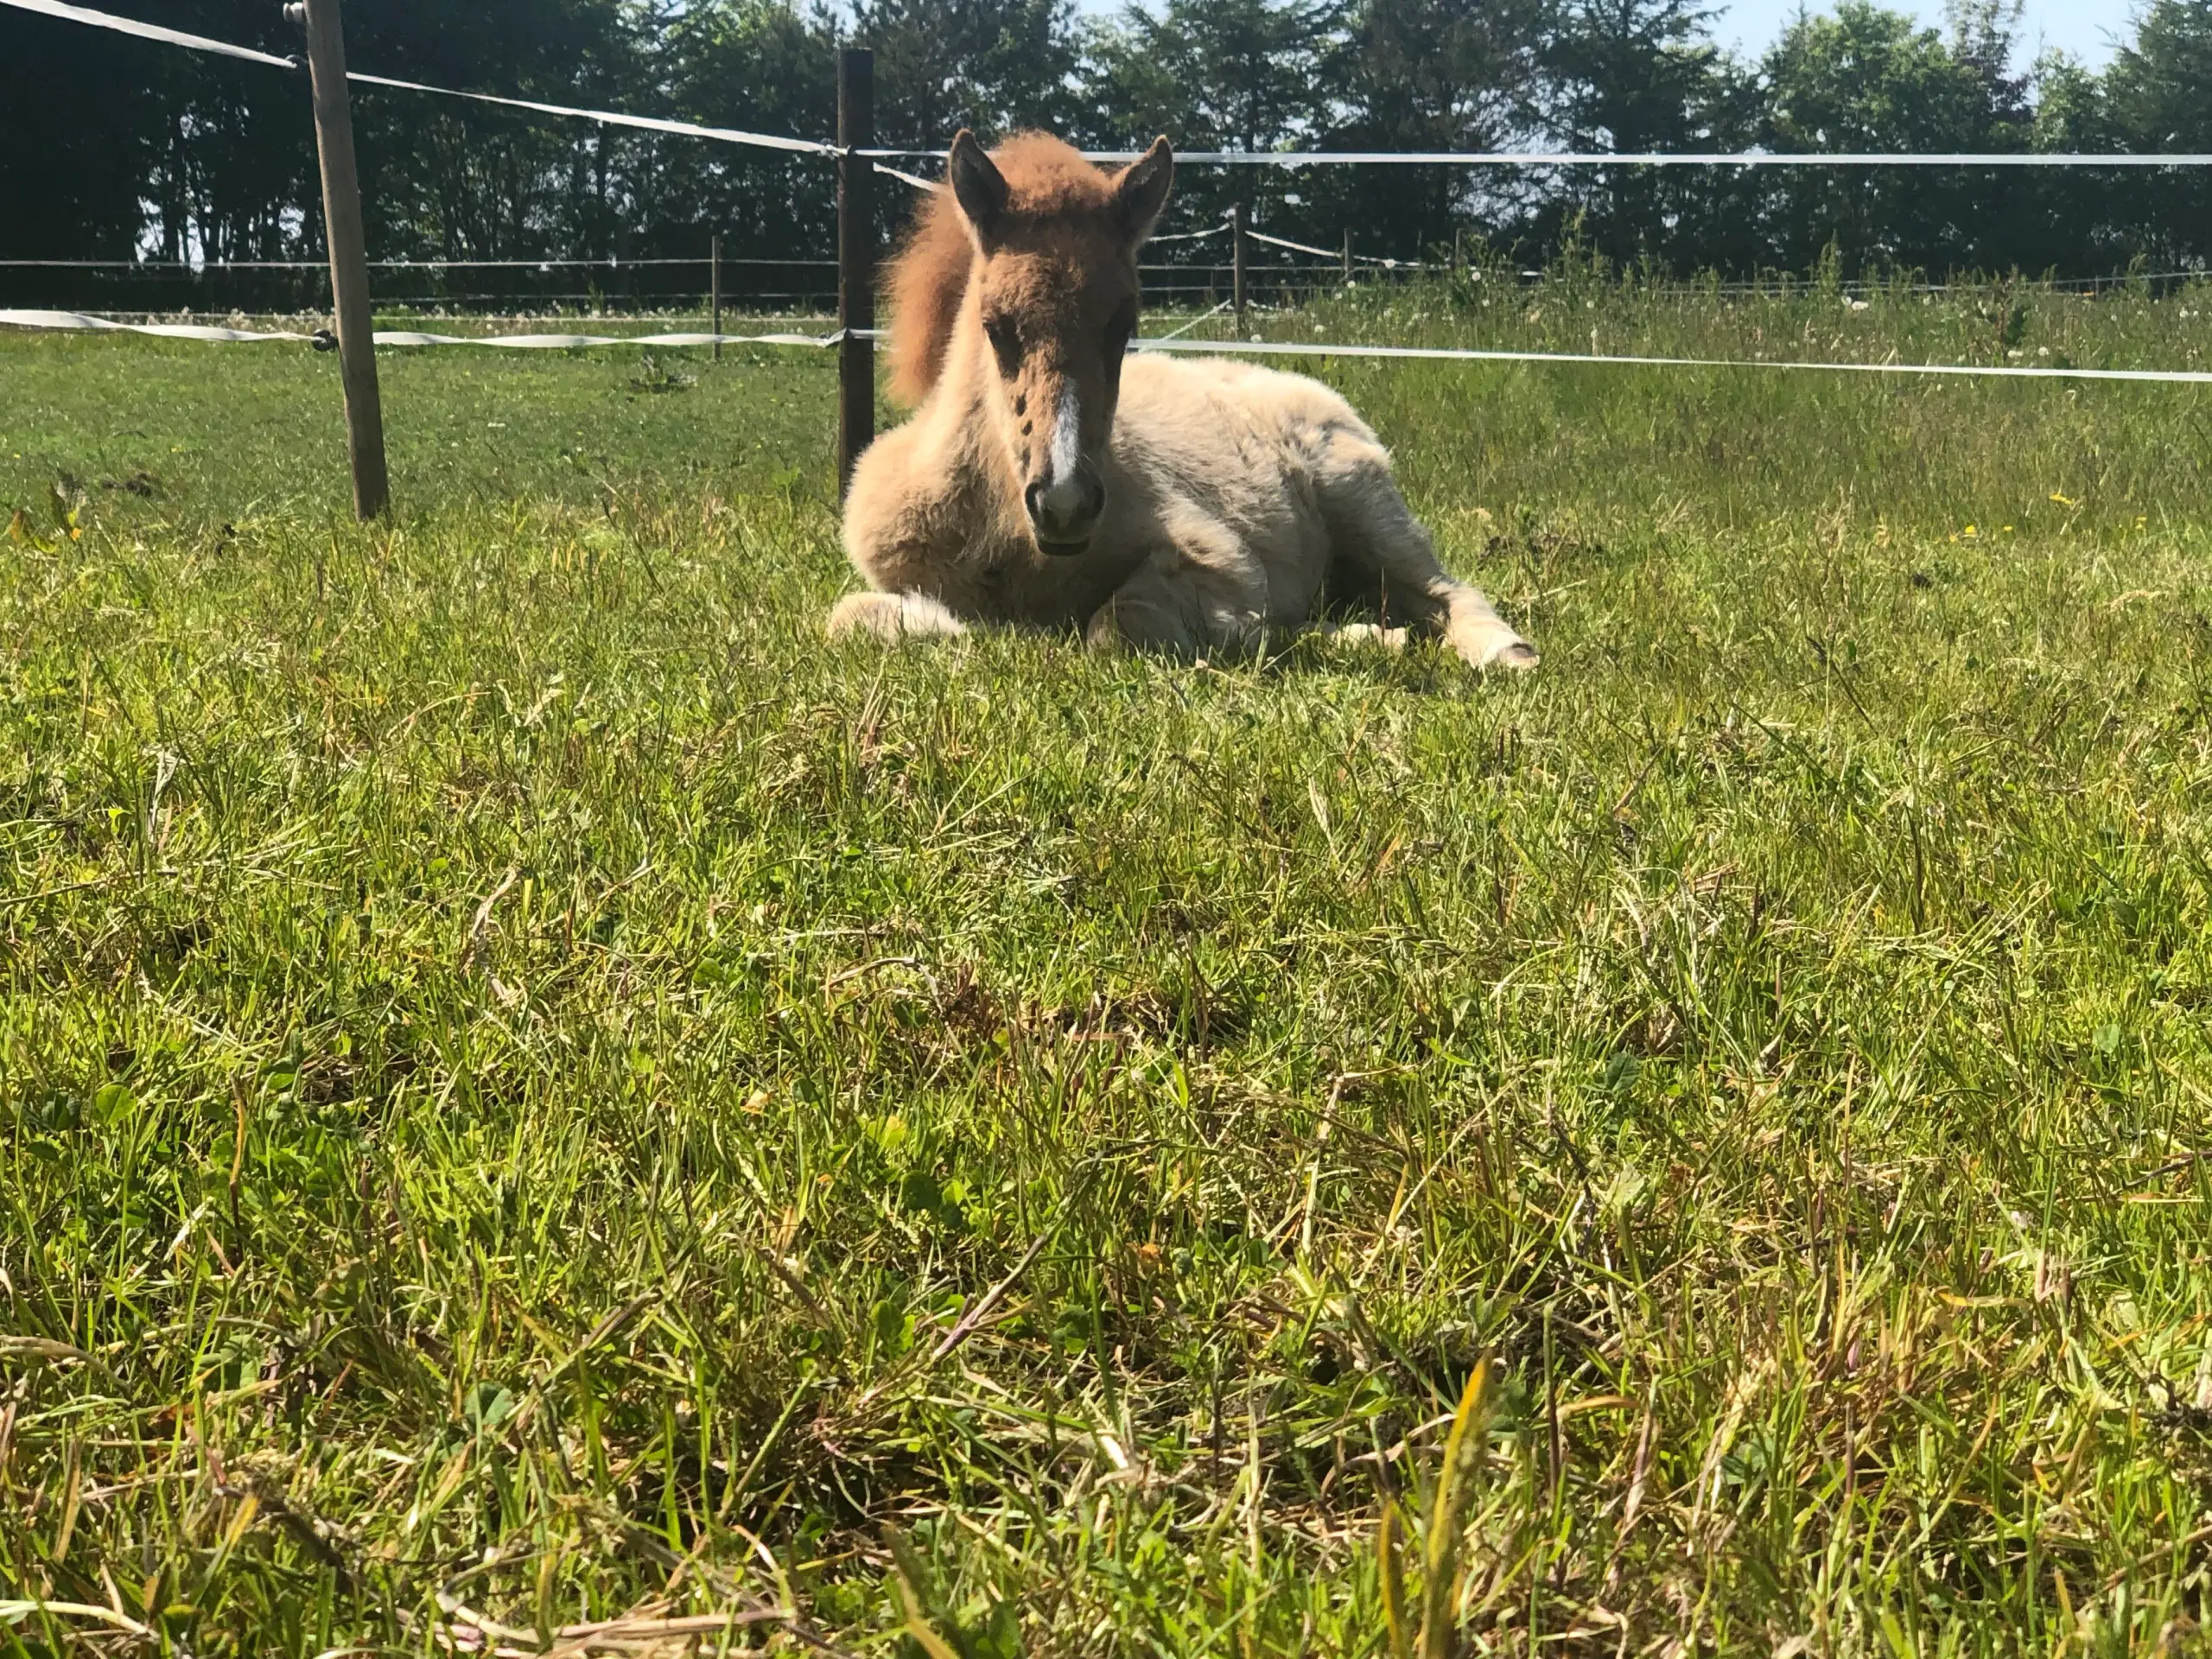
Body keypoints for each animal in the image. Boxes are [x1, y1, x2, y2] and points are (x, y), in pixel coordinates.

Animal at [831, 128, 1539, 677]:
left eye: (1124, 325)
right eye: (996, 326)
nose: (1065, 504)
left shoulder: (1219, 555)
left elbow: (1122, 623)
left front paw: (1246, 633)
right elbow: (852, 618)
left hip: (1365, 502)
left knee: (1443, 590)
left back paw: (1502, 652)